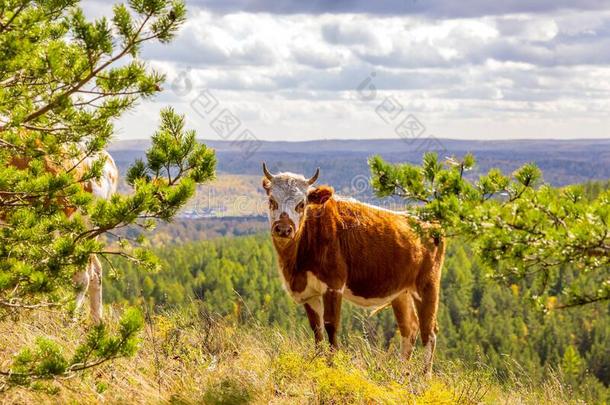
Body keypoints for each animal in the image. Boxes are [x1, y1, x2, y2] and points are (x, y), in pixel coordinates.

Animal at [2, 147, 117, 324]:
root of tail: (108, 161)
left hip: (82, 226)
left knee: (83, 276)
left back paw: (70, 320)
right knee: (96, 271)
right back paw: (96, 322)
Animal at [260, 163, 442, 374]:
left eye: (301, 204)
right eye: (272, 200)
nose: (283, 229)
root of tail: (429, 220)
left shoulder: (333, 285)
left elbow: (331, 325)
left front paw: (332, 364)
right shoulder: (309, 292)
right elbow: (316, 329)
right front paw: (318, 362)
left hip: (427, 286)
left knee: (429, 331)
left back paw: (423, 376)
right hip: (401, 292)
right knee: (409, 328)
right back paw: (401, 373)